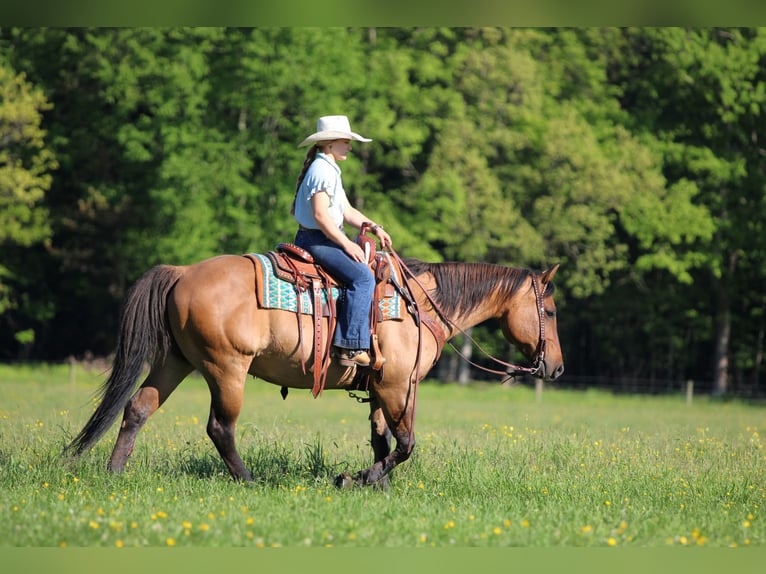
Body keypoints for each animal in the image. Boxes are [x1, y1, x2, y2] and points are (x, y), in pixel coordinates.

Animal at [64, 249, 564, 487]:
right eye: (552, 311)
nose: (557, 369)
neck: (418, 306)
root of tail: (182, 271)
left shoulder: (380, 388)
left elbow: (382, 442)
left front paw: (373, 485)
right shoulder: (399, 386)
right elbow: (405, 445)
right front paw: (356, 479)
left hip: (175, 362)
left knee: (137, 407)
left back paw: (114, 473)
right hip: (226, 368)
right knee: (219, 427)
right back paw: (250, 481)